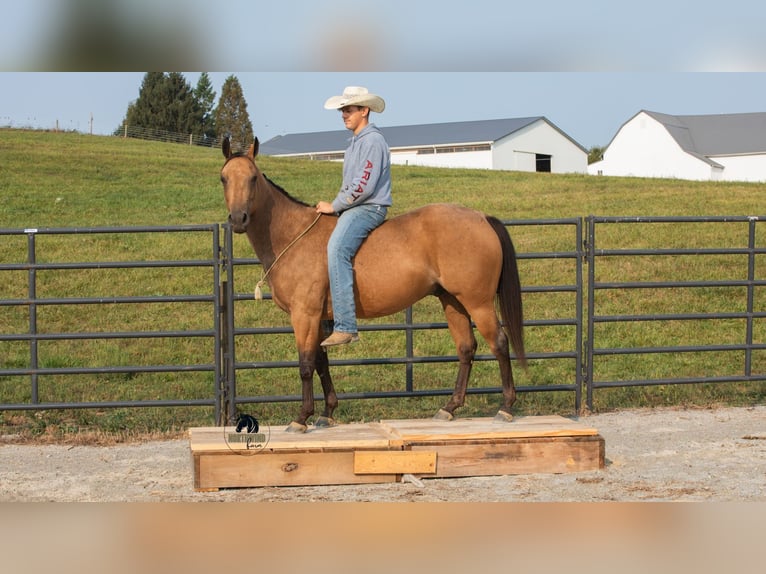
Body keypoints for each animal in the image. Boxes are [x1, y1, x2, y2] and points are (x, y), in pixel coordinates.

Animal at [220, 137, 527, 432]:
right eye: (224, 178)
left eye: (253, 178)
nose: (237, 219)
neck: (294, 236)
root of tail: (481, 217)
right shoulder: (319, 319)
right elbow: (321, 363)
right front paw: (327, 413)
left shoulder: (304, 315)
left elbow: (306, 365)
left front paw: (302, 418)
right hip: (453, 301)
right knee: (466, 348)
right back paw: (450, 407)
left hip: (478, 302)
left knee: (499, 343)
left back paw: (506, 407)